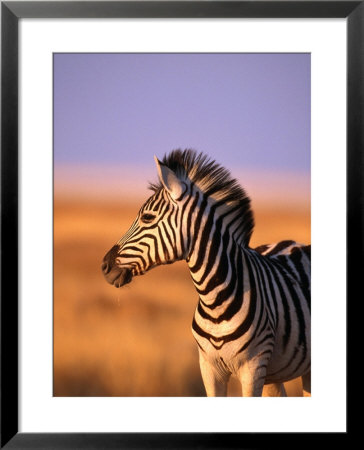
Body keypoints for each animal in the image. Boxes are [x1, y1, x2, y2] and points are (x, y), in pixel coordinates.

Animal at [101, 149, 310, 396]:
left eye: (147, 218)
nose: (105, 266)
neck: (215, 301)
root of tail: (293, 242)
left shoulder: (253, 367)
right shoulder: (209, 368)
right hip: (274, 375)